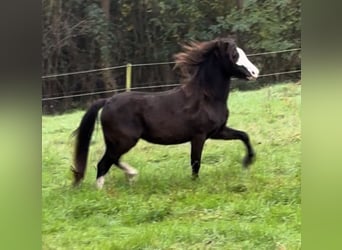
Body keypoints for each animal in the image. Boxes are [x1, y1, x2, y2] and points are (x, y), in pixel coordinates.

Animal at [73, 37, 260, 188]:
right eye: (234, 55)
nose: (255, 72)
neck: (206, 97)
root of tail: (108, 101)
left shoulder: (218, 131)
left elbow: (244, 135)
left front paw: (247, 162)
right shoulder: (198, 136)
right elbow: (195, 163)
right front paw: (195, 184)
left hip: (119, 142)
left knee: (113, 160)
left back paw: (132, 175)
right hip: (123, 141)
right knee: (103, 164)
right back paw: (103, 191)